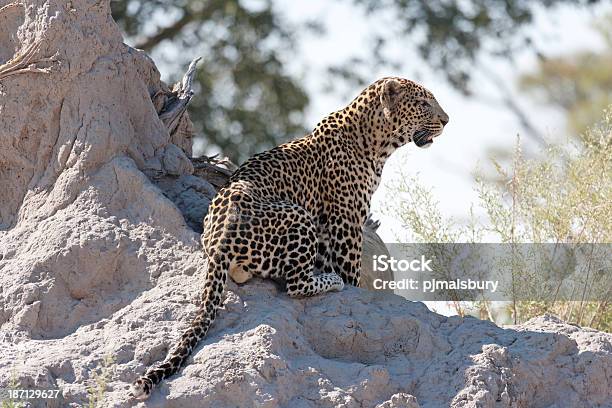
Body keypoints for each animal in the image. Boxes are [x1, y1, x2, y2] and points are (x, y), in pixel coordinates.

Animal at [130, 75, 450, 398]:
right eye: (423, 103)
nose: (446, 120)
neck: (376, 140)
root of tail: (220, 243)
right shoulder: (346, 222)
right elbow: (351, 273)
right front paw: (347, 283)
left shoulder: (329, 228)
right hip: (297, 214)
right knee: (296, 285)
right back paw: (331, 281)